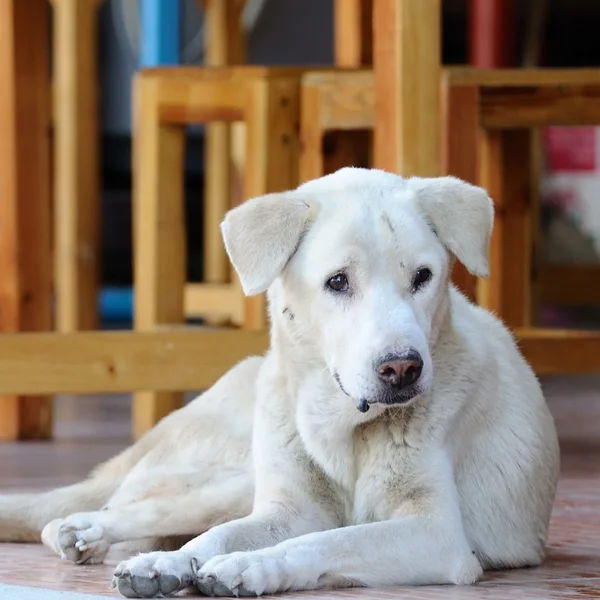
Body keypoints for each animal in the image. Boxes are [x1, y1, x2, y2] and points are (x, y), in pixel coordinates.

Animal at [1, 170, 564, 600]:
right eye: (338, 281)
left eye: (423, 277)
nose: (403, 368)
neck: (340, 425)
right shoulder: (288, 509)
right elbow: (217, 538)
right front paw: (171, 564)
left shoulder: (438, 534)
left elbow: (328, 541)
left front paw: (249, 567)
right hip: (232, 478)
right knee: (127, 509)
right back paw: (88, 532)